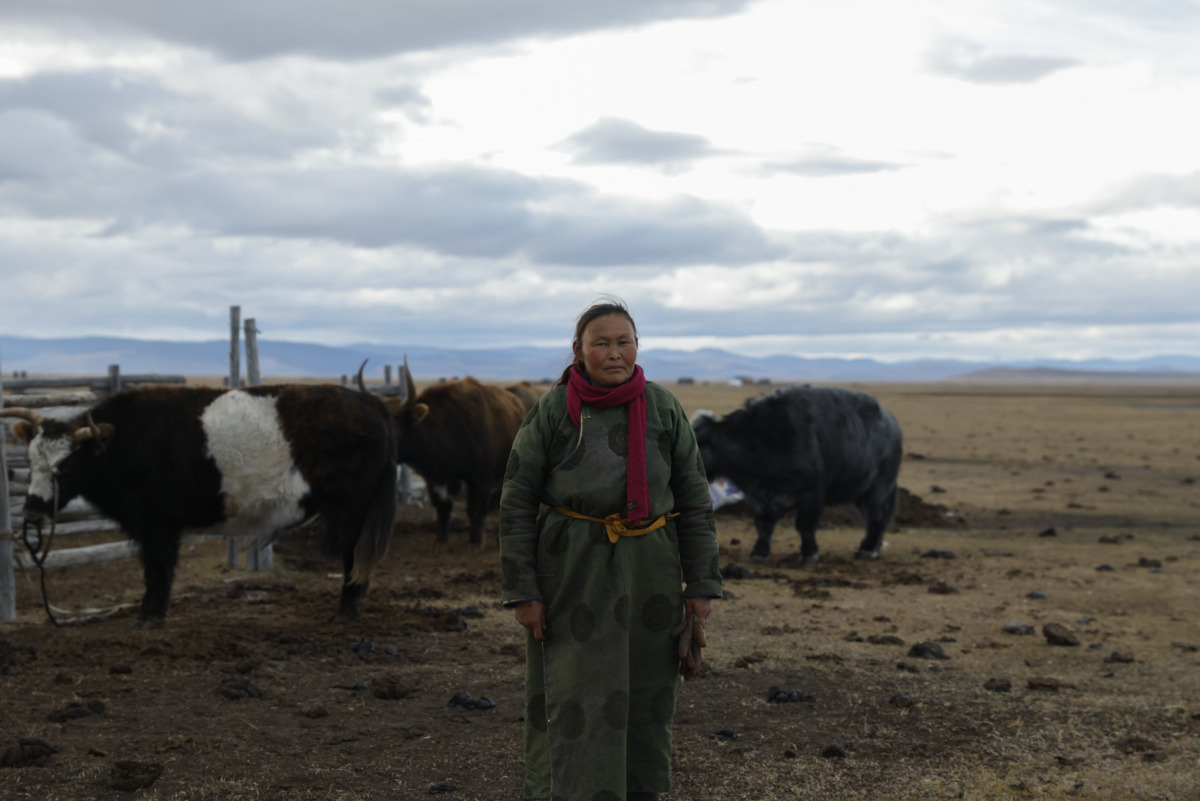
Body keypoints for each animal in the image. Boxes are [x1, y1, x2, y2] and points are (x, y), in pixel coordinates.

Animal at [0, 384, 398, 627]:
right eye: (31, 460)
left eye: (65, 466)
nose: (32, 513)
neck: (124, 442)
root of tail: (371, 404)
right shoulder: (148, 529)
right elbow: (152, 571)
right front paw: (145, 615)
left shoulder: (158, 527)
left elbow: (159, 570)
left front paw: (151, 618)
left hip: (352, 511)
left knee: (353, 558)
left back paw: (346, 611)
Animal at [380, 360, 525, 551]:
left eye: (393, 423)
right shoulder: (434, 481)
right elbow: (442, 510)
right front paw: (440, 541)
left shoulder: (481, 481)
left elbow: (474, 510)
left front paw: (475, 541)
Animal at [690, 385, 903, 564]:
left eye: (698, 443)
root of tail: (891, 422)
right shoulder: (758, 498)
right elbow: (764, 525)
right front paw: (758, 553)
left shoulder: (812, 494)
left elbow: (805, 526)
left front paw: (809, 554)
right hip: (861, 494)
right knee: (872, 518)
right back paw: (871, 546)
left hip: (880, 487)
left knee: (876, 516)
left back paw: (869, 549)